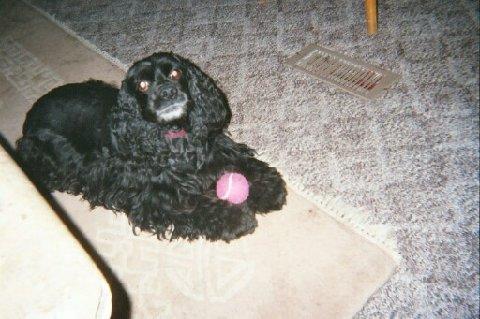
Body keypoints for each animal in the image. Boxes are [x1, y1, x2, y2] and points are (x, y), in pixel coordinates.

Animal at [16, 52, 286, 241]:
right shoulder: (152, 196)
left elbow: (239, 160)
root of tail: (31, 114)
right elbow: (192, 205)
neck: (174, 135)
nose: (167, 92)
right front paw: (233, 217)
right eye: (142, 85)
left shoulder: (215, 146)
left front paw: (266, 187)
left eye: (176, 73)